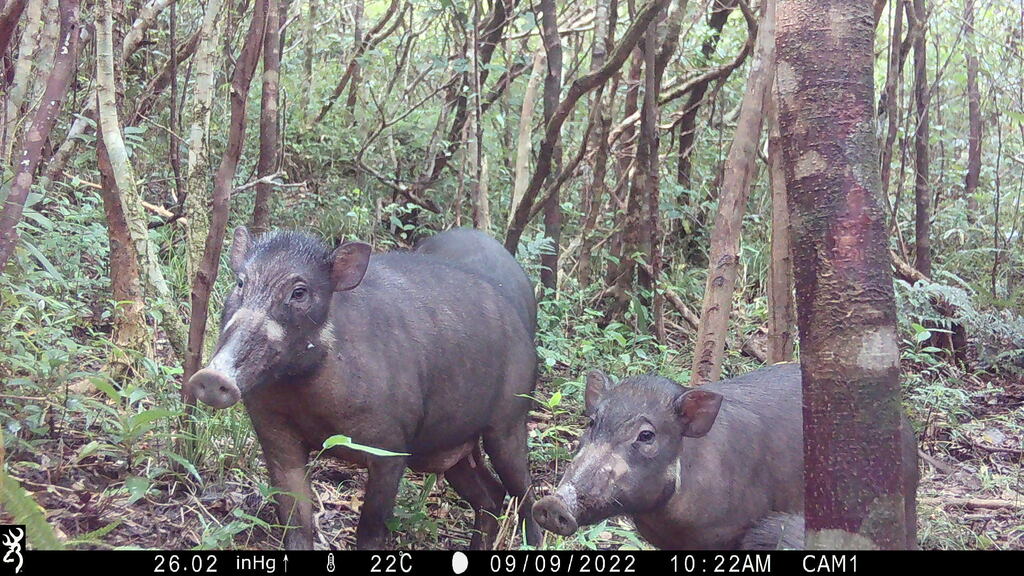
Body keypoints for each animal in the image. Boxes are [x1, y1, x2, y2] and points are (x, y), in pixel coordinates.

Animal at [185, 227, 541, 550]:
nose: (211, 377)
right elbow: (296, 523)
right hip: (448, 447)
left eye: (299, 292)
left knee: (524, 494)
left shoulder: (392, 445)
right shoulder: (275, 434)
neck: (304, 394)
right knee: (490, 496)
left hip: (509, 420)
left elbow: (370, 531)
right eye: (240, 283)